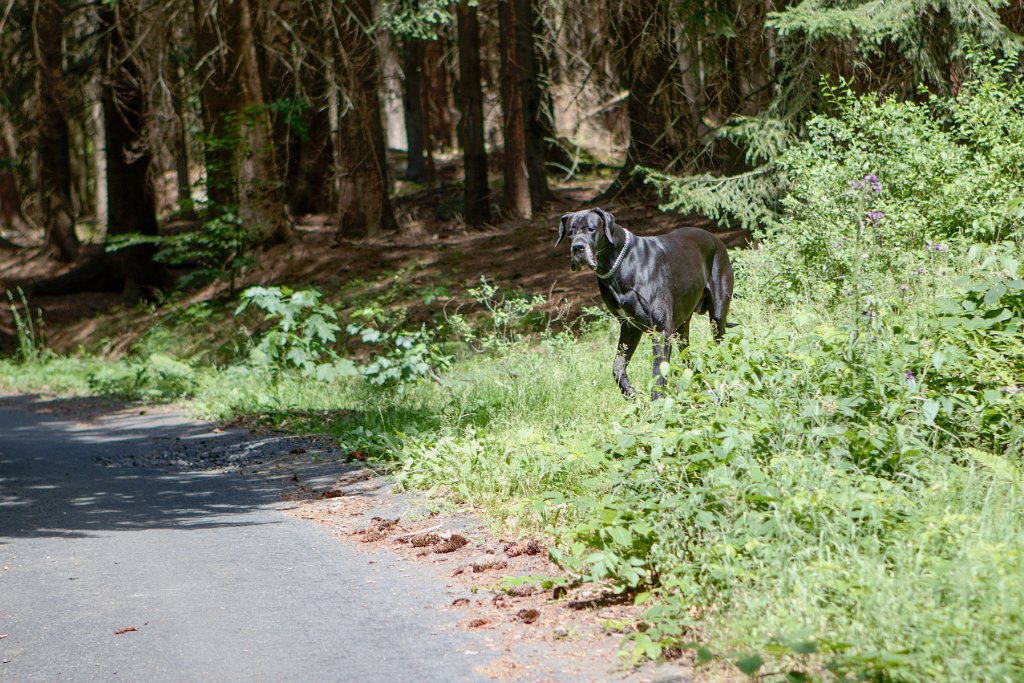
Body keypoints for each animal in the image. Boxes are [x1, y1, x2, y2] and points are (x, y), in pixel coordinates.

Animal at [557, 206, 733, 395]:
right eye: (570, 233)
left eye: (591, 229)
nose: (577, 248)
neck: (619, 264)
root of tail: (717, 239)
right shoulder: (629, 327)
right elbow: (617, 367)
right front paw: (631, 393)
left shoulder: (661, 330)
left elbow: (658, 373)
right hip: (681, 323)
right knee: (687, 354)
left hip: (717, 315)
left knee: (720, 345)